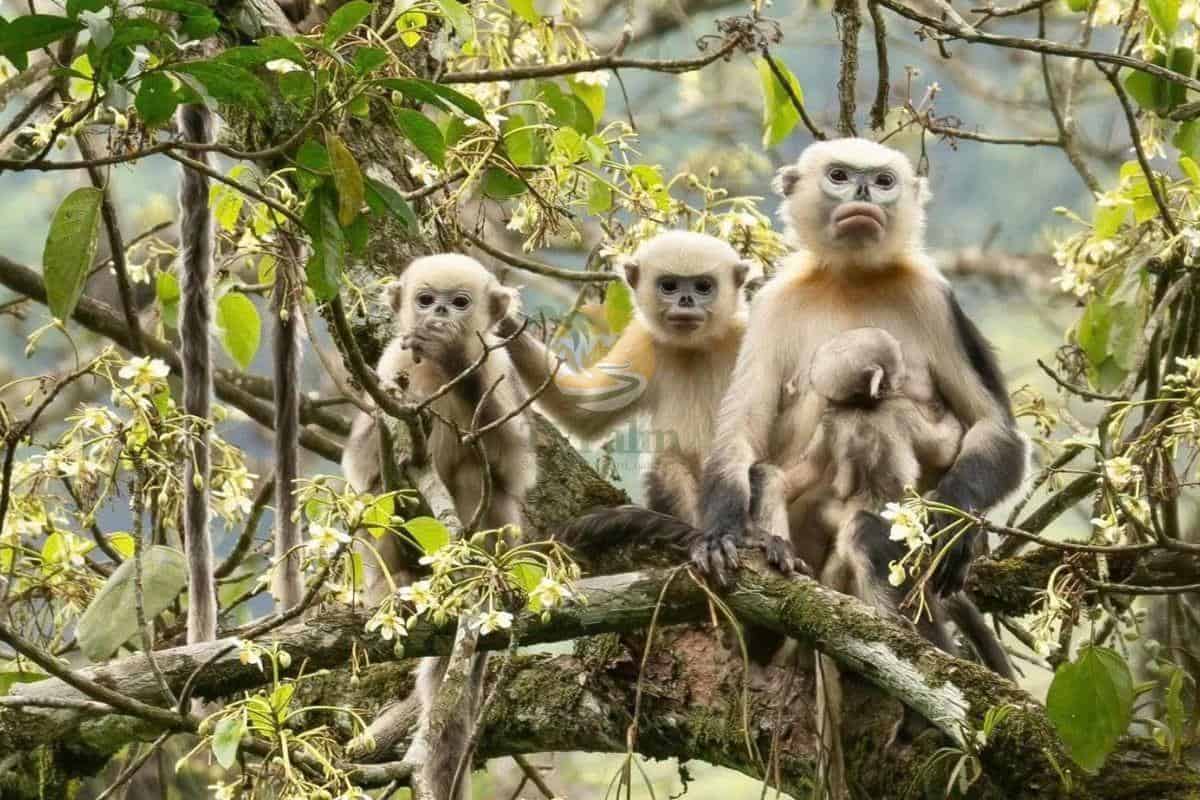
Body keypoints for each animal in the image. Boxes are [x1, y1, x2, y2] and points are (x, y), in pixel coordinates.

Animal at [342, 253, 535, 800]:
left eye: (460, 302)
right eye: (426, 299)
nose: (439, 314)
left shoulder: (498, 370)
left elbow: (514, 468)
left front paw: (453, 350)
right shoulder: (388, 369)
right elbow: (362, 467)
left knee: (480, 478)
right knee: (381, 498)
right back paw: (400, 586)